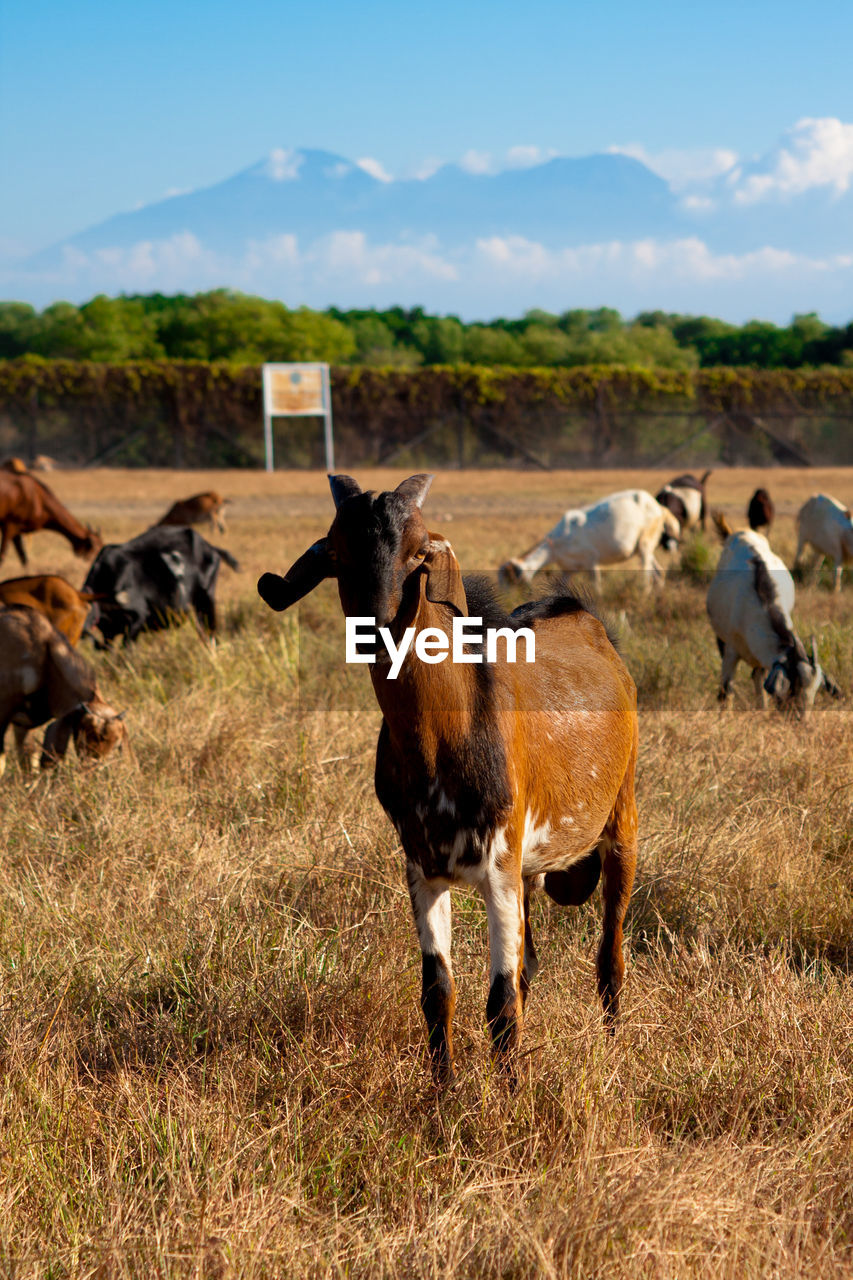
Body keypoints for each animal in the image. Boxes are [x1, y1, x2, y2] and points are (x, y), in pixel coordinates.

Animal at [258, 476, 637, 1085]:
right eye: (338, 554)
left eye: (418, 555)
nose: (372, 628)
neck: (443, 735)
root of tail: (581, 616)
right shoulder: (423, 867)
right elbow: (439, 992)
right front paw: (444, 1089)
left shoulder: (499, 866)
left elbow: (502, 1002)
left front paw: (507, 1096)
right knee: (532, 963)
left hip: (622, 821)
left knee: (610, 954)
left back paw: (613, 1043)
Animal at [494, 486, 676, 591]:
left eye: (510, 581)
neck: (555, 547)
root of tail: (659, 508)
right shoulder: (568, 570)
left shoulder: (591, 562)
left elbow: (596, 587)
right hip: (642, 547)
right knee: (659, 573)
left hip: (645, 543)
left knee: (646, 576)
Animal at [701, 524, 835, 716]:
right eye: (794, 686)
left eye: (815, 691)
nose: (801, 720)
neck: (764, 603)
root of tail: (744, 532)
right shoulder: (731, 650)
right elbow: (726, 691)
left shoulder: (761, 653)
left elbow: (759, 680)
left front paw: (762, 711)